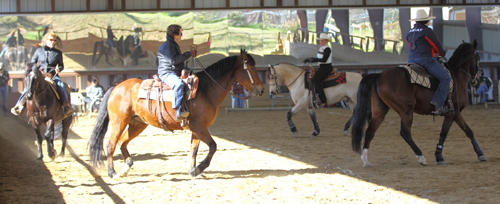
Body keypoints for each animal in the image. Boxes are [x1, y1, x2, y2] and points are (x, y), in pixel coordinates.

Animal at [350, 39, 486, 167]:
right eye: (478, 57)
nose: (477, 77)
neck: (456, 76)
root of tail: (379, 76)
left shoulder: (456, 112)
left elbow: (468, 131)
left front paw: (480, 154)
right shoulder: (451, 113)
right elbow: (443, 133)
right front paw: (439, 157)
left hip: (380, 111)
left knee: (370, 131)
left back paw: (365, 160)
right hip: (406, 111)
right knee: (405, 133)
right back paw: (421, 158)